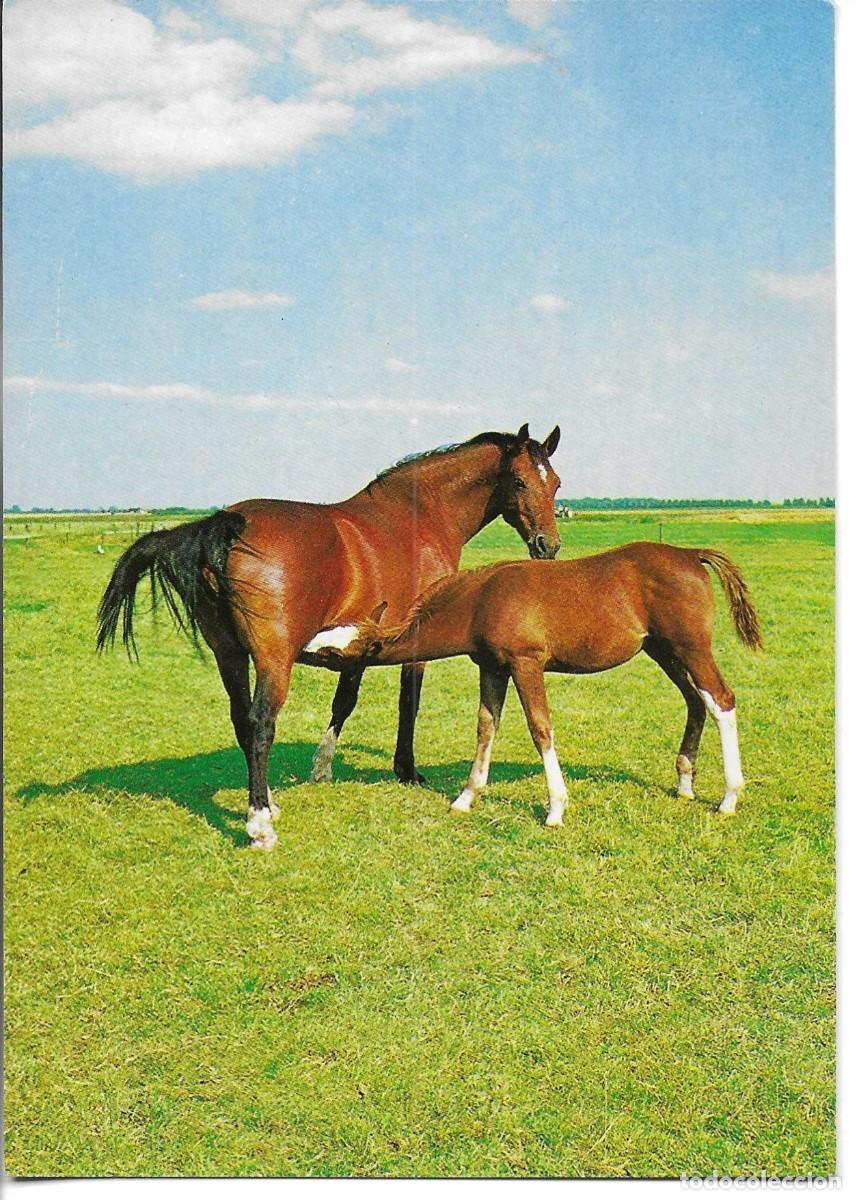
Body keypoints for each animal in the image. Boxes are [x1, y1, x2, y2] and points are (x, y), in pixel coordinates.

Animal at [96, 424, 563, 849]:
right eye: (520, 481)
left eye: (555, 483)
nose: (548, 546)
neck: (417, 518)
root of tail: (228, 526)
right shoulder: (413, 643)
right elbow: (408, 703)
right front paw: (407, 770)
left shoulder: (359, 643)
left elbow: (345, 701)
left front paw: (322, 768)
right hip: (273, 660)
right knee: (260, 724)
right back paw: (259, 824)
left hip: (228, 654)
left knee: (242, 721)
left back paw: (267, 802)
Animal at [304, 542, 763, 825]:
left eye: (332, 654)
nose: (301, 648)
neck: (482, 600)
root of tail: (691, 553)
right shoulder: (492, 667)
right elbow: (486, 727)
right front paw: (466, 797)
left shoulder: (527, 664)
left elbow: (540, 728)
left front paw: (556, 808)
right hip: (664, 651)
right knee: (695, 702)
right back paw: (685, 786)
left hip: (691, 648)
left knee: (721, 700)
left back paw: (728, 798)